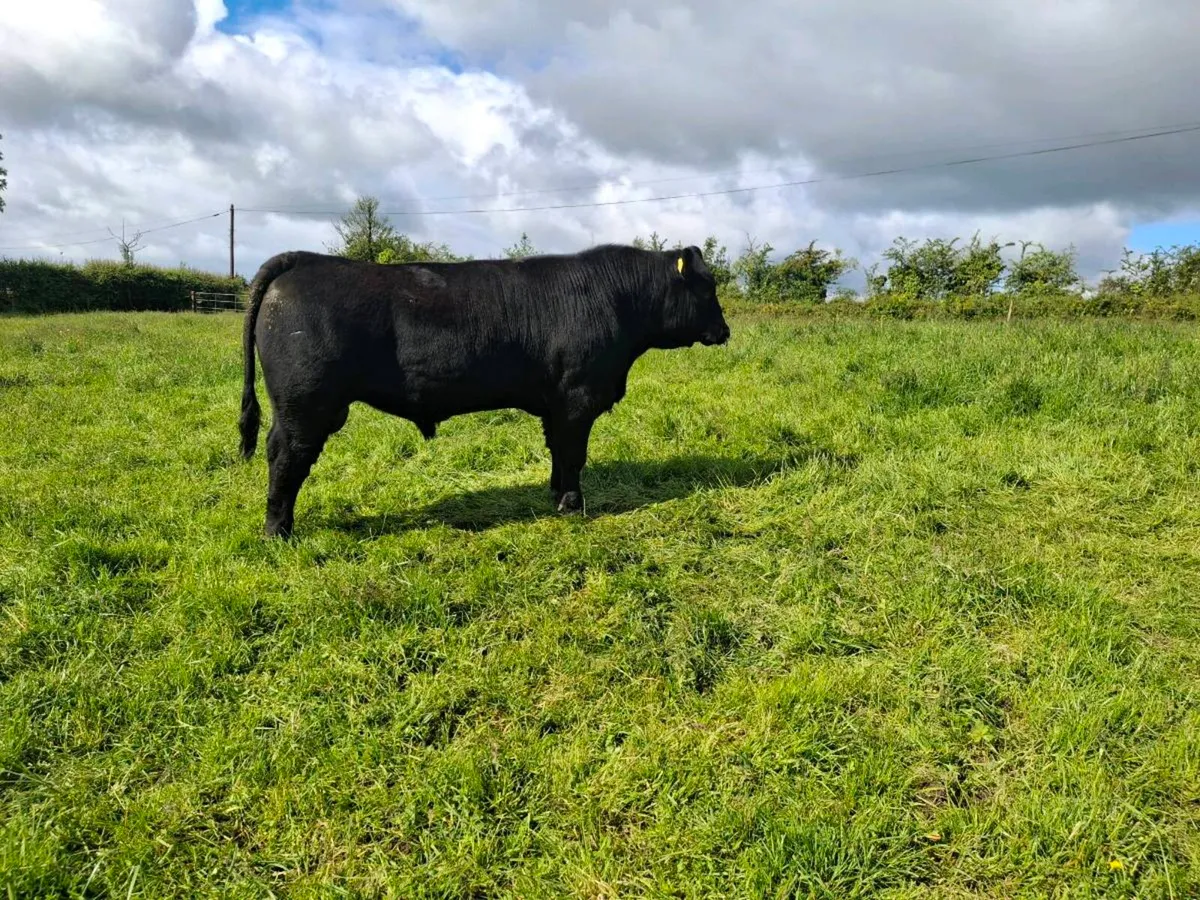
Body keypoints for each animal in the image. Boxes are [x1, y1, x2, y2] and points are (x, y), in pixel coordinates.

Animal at [237, 243, 731, 538]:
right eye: (708, 288)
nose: (725, 330)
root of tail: (304, 258)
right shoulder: (577, 397)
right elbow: (574, 454)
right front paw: (572, 505)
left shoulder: (554, 403)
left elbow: (557, 452)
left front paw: (555, 495)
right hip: (305, 403)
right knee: (286, 456)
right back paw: (279, 530)